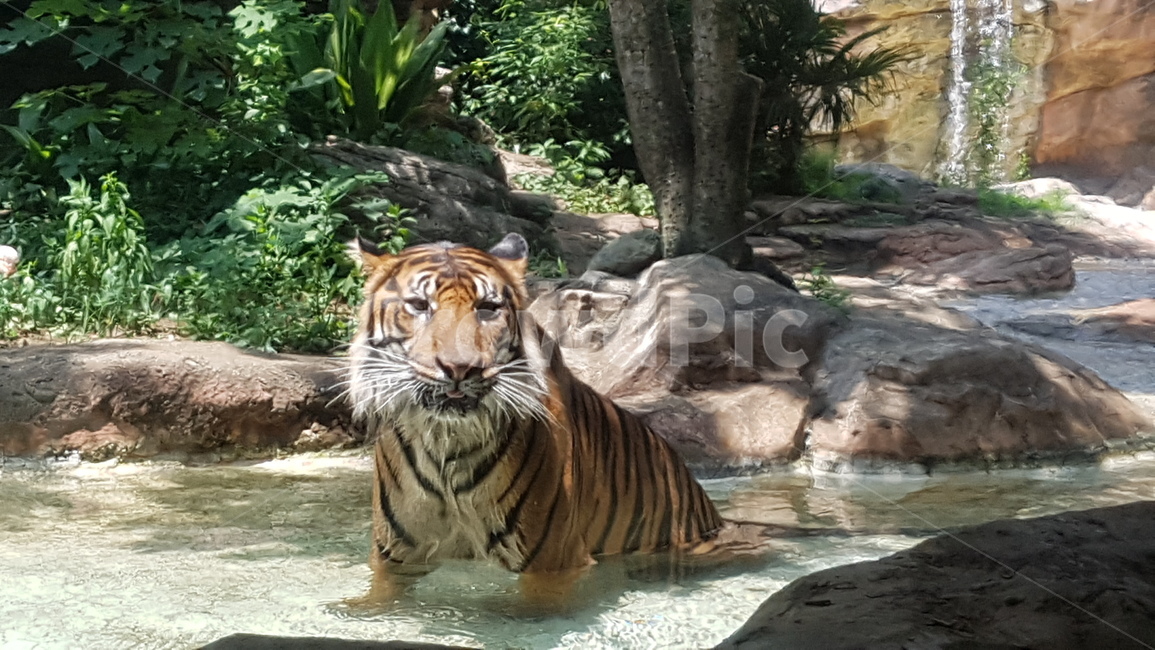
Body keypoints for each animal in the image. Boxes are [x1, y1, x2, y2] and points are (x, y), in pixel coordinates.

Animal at [347, 232, 740, 605]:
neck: (446, 441)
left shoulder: (553, 559)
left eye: (487, 308)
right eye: (419, 306)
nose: (459, 368)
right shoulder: (394, 556)